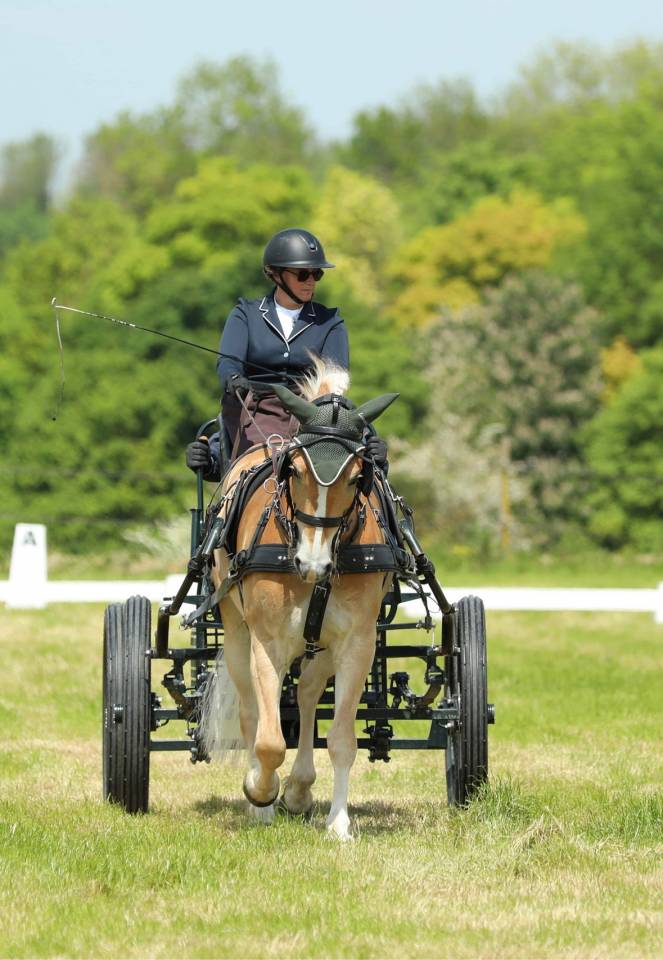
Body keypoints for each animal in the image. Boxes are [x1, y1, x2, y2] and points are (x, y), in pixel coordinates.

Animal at [201, 359, 398, 840]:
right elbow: (269, 740)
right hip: (237, 633)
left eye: (357, 475)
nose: (312, 561)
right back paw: (264, 798)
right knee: (252, 712)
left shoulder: (357, 644)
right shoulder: (268, 643)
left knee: (307, 694)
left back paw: (300, 789)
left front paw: (339, 824)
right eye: (293, 470)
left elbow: (342, 739)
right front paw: (259, 793)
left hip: (320, 645)